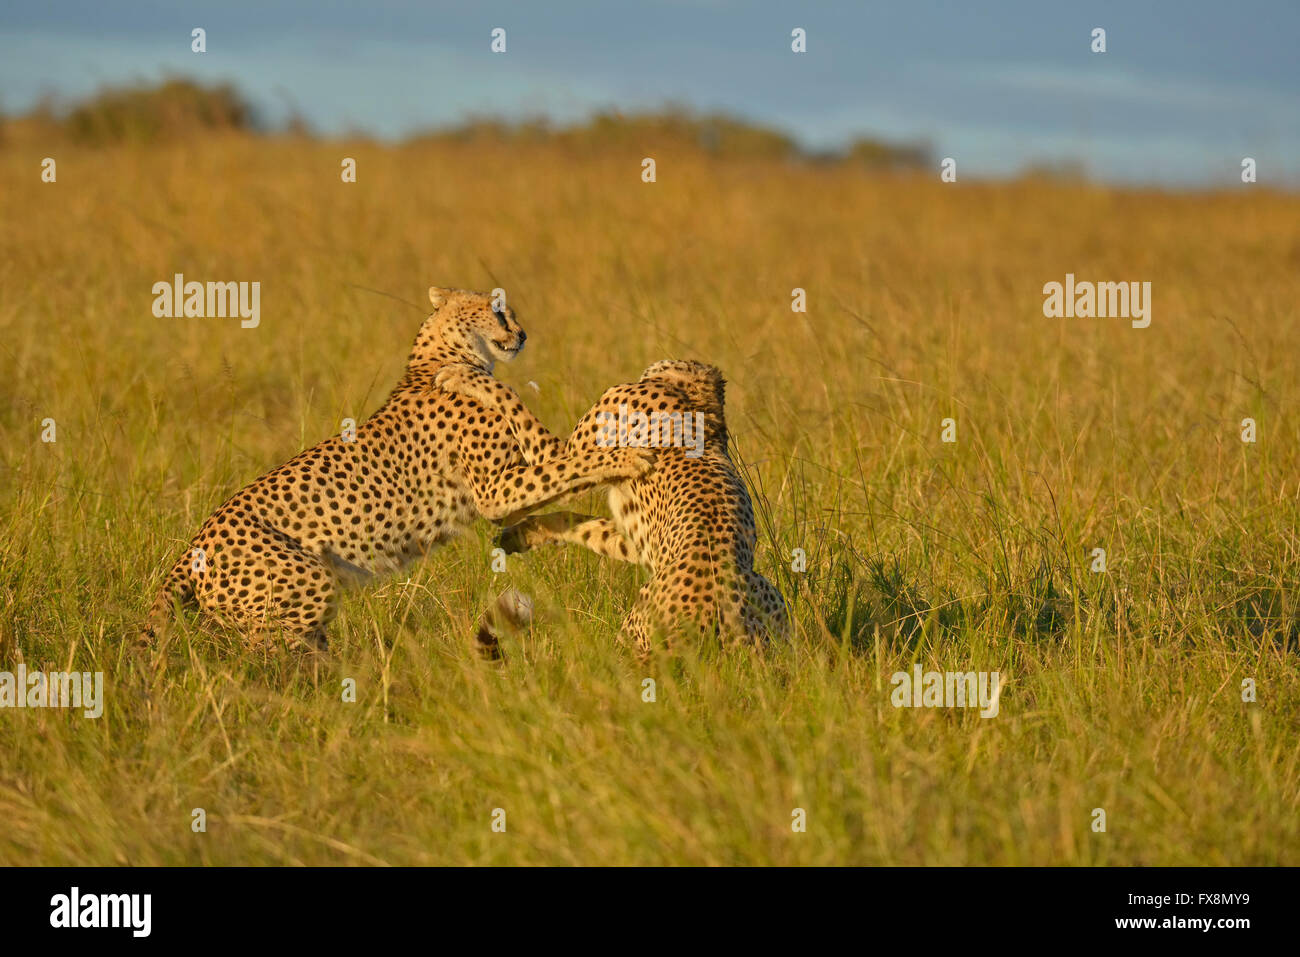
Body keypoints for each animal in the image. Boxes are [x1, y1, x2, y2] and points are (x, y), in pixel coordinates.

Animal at [142, 283, 655, 650]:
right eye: (498, 311)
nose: (524, 334)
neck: (442, 353)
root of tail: (196, 539)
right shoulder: (499, 490)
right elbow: (573, 460)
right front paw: (630, 456)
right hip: (303, 587)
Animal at [436, 356, 785, 655]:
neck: (694, 398)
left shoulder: (561, 453)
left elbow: (511, 399)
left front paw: (462, 375)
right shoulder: (636, 543)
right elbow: (584, 526)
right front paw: (518, 536)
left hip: (634, 631)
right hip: (771, 599)